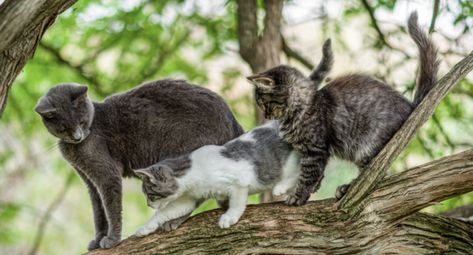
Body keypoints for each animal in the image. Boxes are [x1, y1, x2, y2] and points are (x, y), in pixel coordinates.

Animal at [36, 79, 243, 249]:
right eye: (63, 128)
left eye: (81, 121)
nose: (78, 137)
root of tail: (233, 119)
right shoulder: (90, 181)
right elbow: (98, 212)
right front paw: (97, 239)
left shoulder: (107, 175)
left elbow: (111, 208)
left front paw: (112, 240)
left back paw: (173, 221)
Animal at [133, 121, 298, 235]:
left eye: (151, 195)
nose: (148, 204)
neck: (194, 173)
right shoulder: (189, 198)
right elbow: (165, 212)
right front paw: (145, 228)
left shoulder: (240, 180)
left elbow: (237, 203)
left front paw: (229, 217)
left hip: (290, 162)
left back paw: (280, 187)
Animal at [247, 12, 438, 206]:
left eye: (264, 103)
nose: (265, 115)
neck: (301, 108)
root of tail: (410, 106)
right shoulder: (309, 151)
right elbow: (311, 173)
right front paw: (312, 188)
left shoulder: (315, 150)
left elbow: (307, 175)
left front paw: (298, 196)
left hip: (368, 146)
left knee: (375, 176)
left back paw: (348, 187)